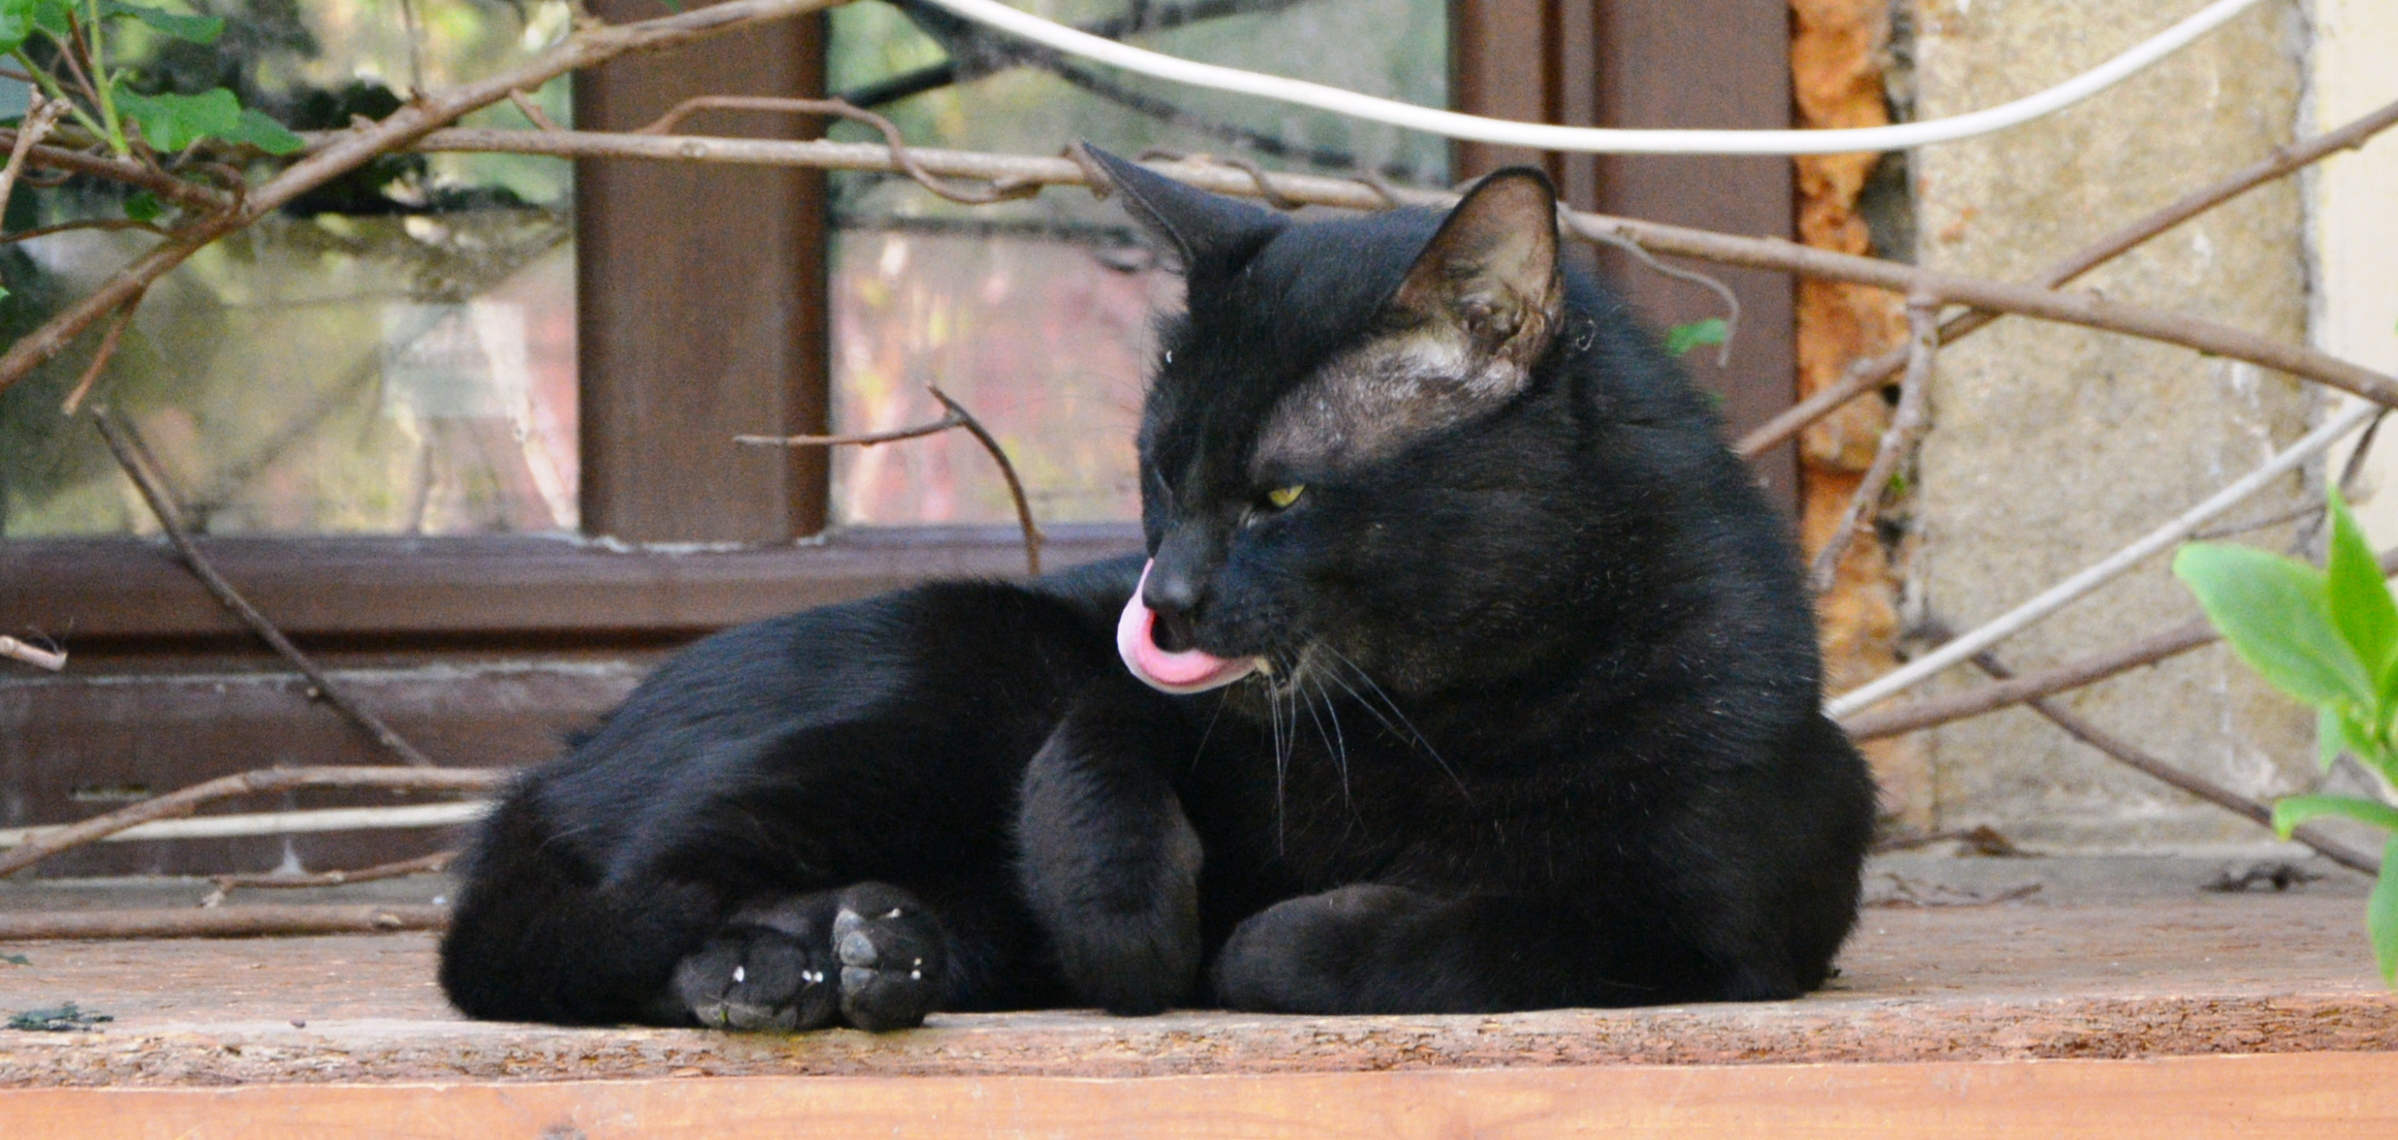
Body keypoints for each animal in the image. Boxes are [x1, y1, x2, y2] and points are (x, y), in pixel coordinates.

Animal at [446, 147, 1870, 1032]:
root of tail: (557, 759)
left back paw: (871, 946)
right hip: (944, 670)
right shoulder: (1109, 692)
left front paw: (1263, 938)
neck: (1437, 721)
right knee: (586, 918)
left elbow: (1416, 936)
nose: (1164, 597)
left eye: (1279, 497)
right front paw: (1130, 921)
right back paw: (776, 962)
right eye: (1158, 471)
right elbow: (1101, 749)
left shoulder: (1704, 928)